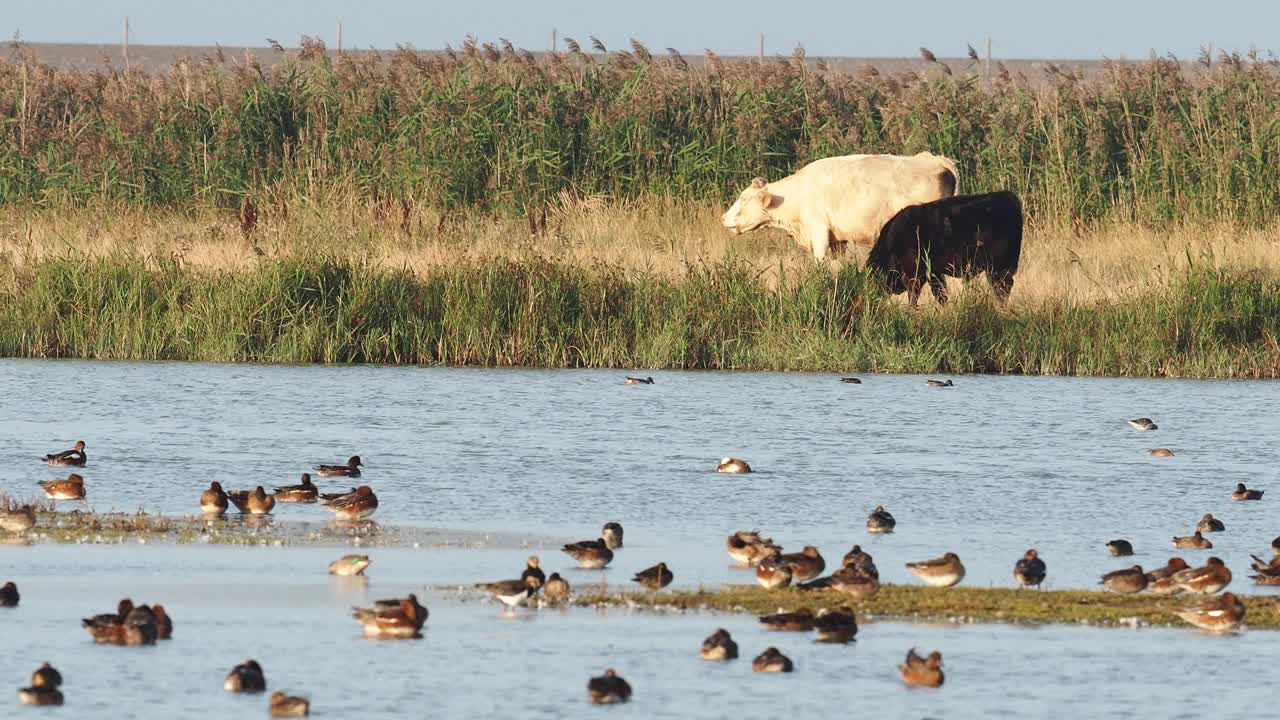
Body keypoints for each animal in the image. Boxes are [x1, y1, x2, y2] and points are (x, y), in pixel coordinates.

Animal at [865, 189, 1024, 303]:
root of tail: (1007, 196)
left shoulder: (914, 276)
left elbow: (914, 298)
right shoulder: (935, 274)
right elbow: (941, 296)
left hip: (997, 268)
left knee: (1002, 288)